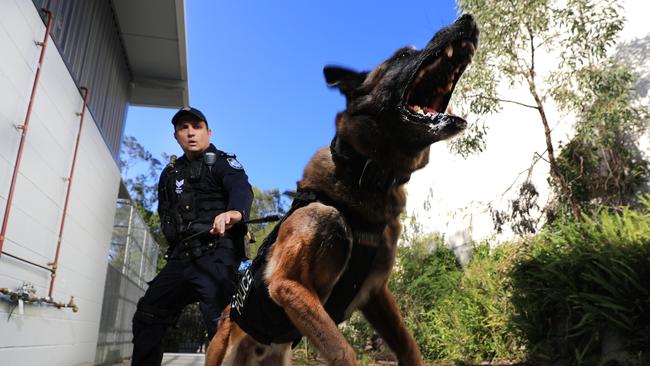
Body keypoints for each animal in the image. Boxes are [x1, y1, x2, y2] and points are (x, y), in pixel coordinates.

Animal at [206, 14, 476, 366]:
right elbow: (343, 350)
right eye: (403, 55)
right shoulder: (288, 284)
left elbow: (408, 345)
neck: (366, 177)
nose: (467, 19)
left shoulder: (376, 293)